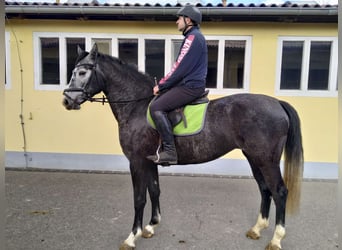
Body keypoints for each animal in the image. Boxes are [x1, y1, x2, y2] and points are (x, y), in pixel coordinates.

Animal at [62, 43, 302, 250]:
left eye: (82, 73)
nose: (67, 101)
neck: (137, 107)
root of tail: (277, 103)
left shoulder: (137, 161)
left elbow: (139, 198)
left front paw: (132, 237)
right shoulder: (150, 161)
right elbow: (155, 190)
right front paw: (151, 226)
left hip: (266, 160)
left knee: (279, 191)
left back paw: (276, 239)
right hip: (254, 157)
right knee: (265, 189)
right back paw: (257, 229)